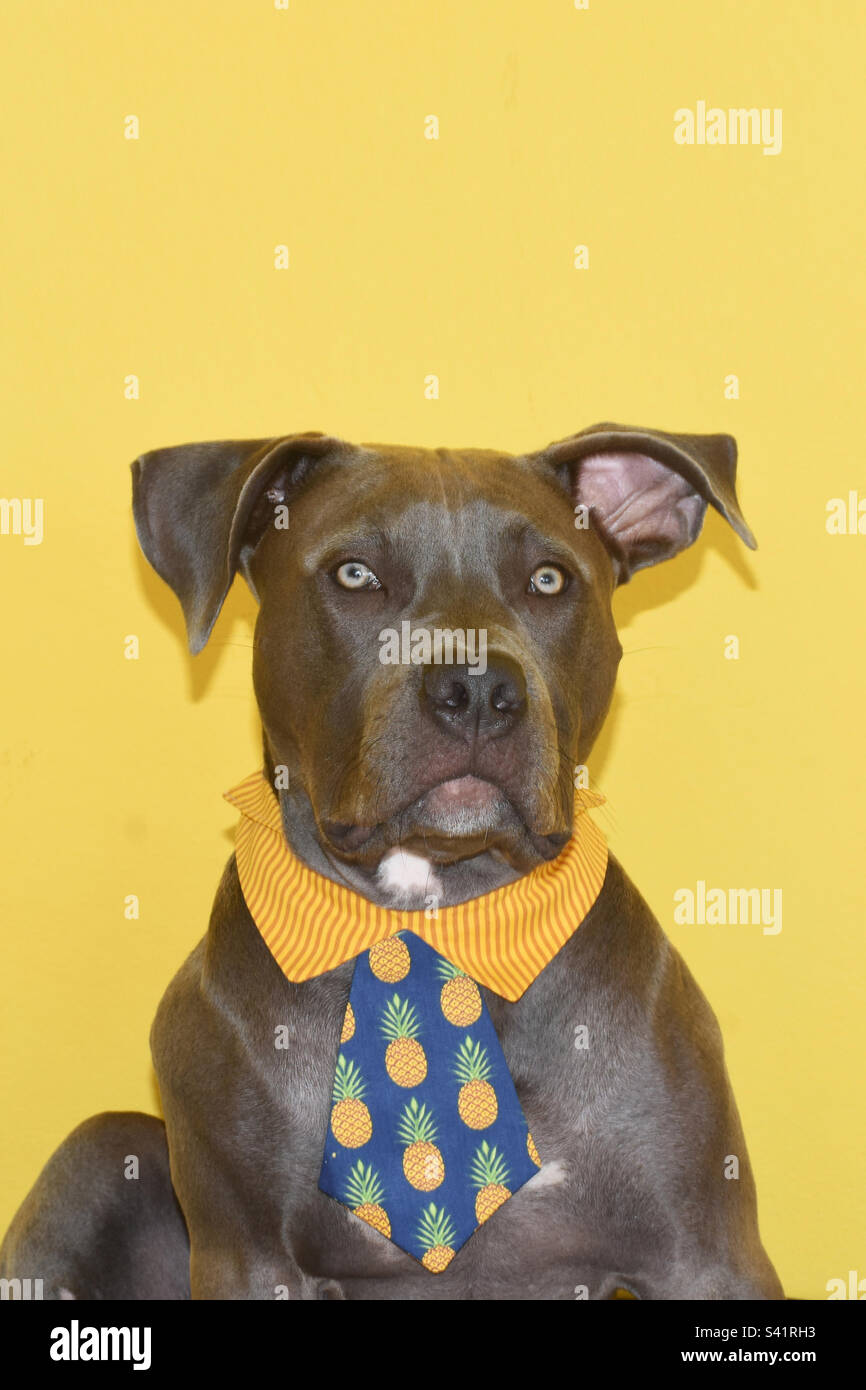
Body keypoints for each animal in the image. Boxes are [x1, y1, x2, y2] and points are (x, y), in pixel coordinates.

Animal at [0, 422, 783, 1301]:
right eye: (355, 574)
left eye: (549, 580)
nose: (477, 689)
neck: (428, 909)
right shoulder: (249, 1258)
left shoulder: (705, 1255)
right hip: (104, 1148)